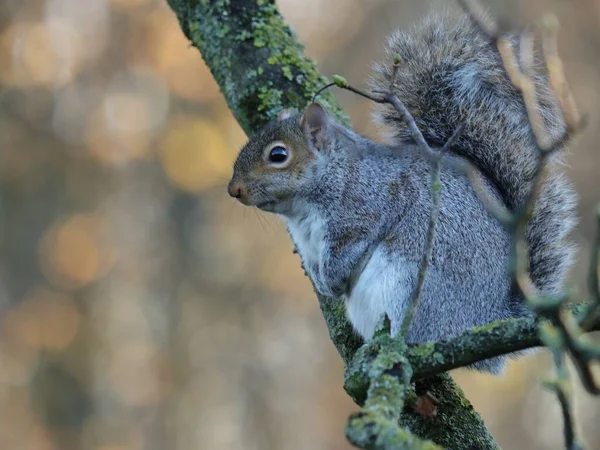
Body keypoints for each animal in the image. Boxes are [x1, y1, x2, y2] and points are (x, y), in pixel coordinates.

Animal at [225, 11, 576, 372]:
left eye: (278, 155)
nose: (233, 189)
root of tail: (487, 319)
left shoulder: (366, 209)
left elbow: (349, 250)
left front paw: (333, 280)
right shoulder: (308, 244)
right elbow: (314, 263)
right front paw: (322, 282)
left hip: (409, 285)